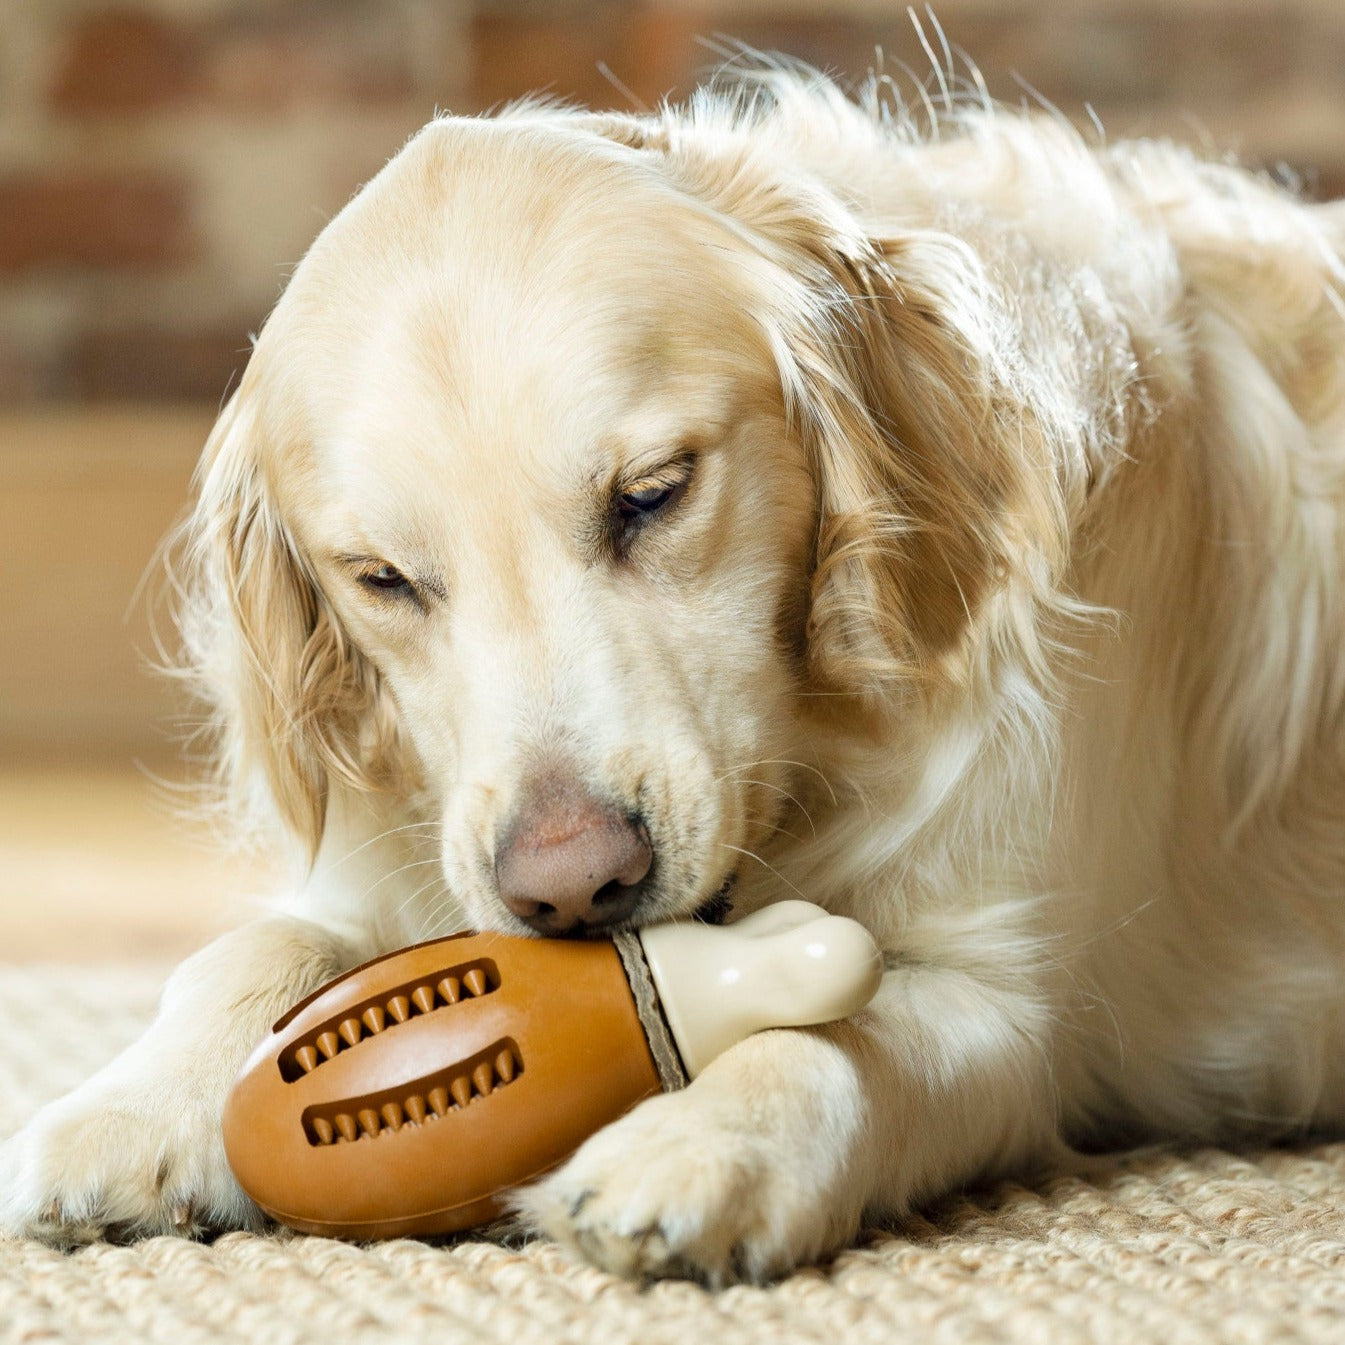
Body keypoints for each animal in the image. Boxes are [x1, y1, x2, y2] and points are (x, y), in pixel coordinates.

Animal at [2, 63, 1345, 1280]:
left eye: (652, 494)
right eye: (381, 577)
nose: (571, 887)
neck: (814, 757)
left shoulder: (1017, 1003)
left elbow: (841, 1034)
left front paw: (703, 1143)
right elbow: (261, 948)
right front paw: (124, 1108)